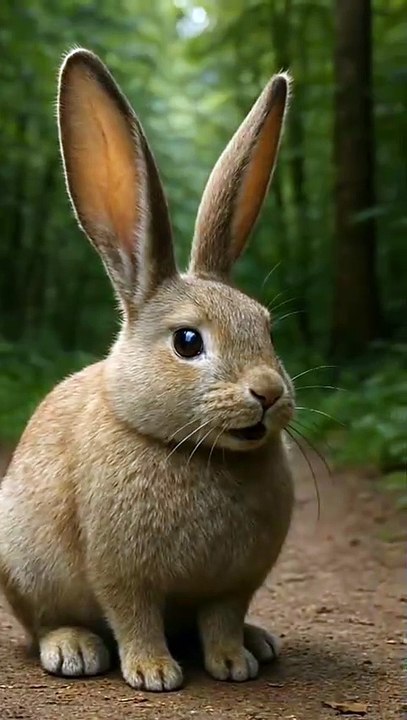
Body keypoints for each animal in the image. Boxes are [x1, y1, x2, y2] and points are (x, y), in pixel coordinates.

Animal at [0, 48, 295, 692]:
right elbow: (134, 616)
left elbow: (222, 619)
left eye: (268, 329)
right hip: (22, 562)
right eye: (187, 341)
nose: (268, 392)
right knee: (42, 625)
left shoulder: (232, 585)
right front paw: (155, 673)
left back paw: (260, 644)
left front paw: (233, 663)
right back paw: (74, 649)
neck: (195, 453)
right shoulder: (122, 575)